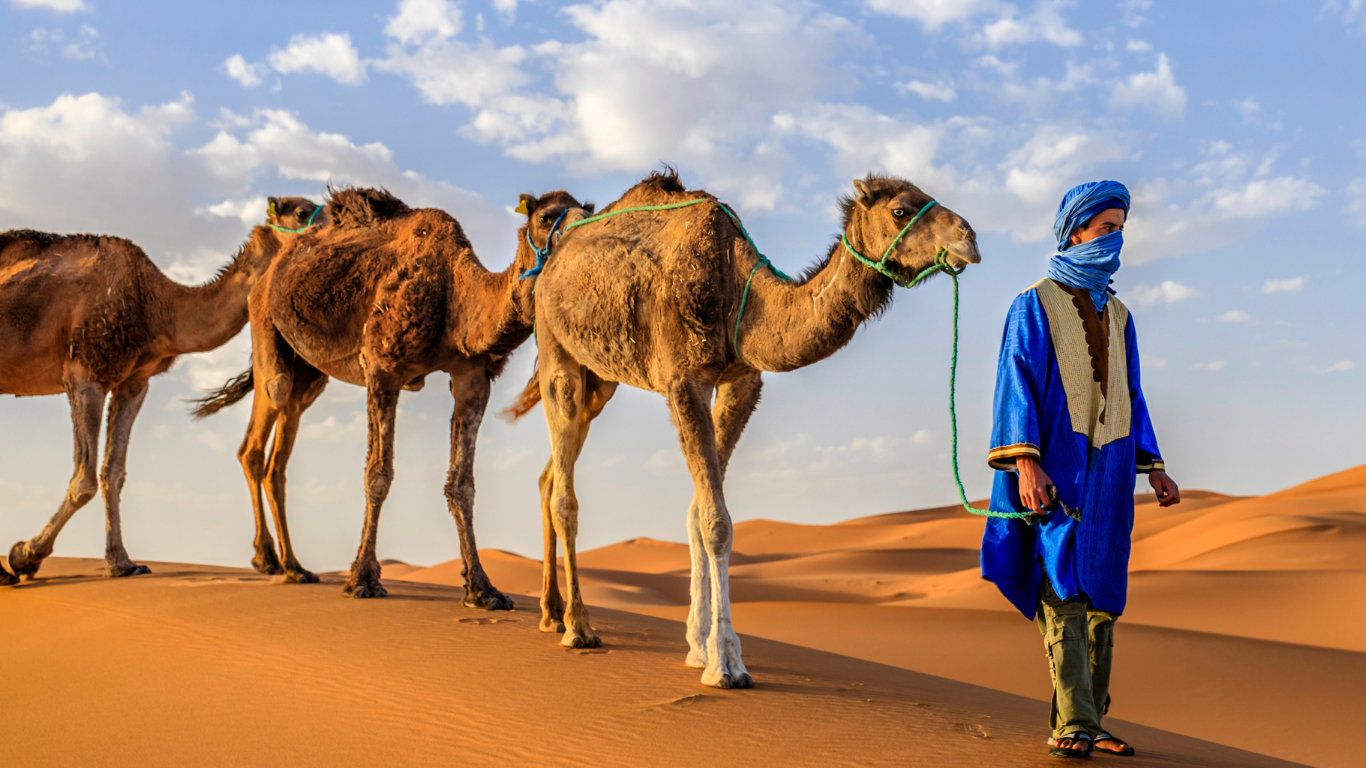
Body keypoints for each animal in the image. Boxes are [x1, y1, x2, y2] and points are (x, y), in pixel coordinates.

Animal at [0, 195, 322, 579]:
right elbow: (84, 479)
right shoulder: (86, 373)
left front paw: (122, 562)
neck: (160, 305)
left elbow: (113, 472)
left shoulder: (134, 383)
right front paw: (24, 555)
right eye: (302, 212)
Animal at [193, 187, 592, 604]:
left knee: (281, 451)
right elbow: (378, 474)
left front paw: (482, 588)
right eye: (545, 217)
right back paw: (267, 560)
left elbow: (462, 484)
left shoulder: (473, 376)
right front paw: (363, 578)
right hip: (265, 322)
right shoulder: (382, 367)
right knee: (263, 423)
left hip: (311, 371)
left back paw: (294, 567)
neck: (454, 296)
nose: (583, 235)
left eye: (588, 209)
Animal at [508, 172, 978, 688]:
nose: (969, 238)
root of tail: (553, 260)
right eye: (899, 210)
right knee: (564, 493)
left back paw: (552, 614)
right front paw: (727, 663)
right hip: (557, 351)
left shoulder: (741, 381)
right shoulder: (684, 378)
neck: (738, 292)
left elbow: (697, 514)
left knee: (550, 474)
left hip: (602, 377)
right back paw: (577, 626)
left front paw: (698, 646)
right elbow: (716, 521)